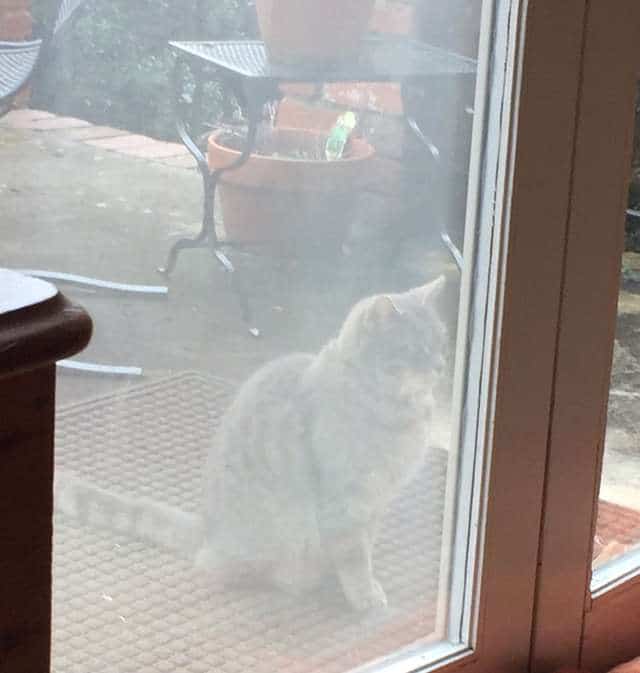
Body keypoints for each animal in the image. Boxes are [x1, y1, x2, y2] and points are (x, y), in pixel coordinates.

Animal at [55, 276, 448, 612]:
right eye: (415, 348)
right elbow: (353, 554)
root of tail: (207, 529)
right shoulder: (345, 501)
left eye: (442, 340)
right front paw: (363, 595)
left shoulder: (375, 503)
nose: (441, 365)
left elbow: (364, 545)